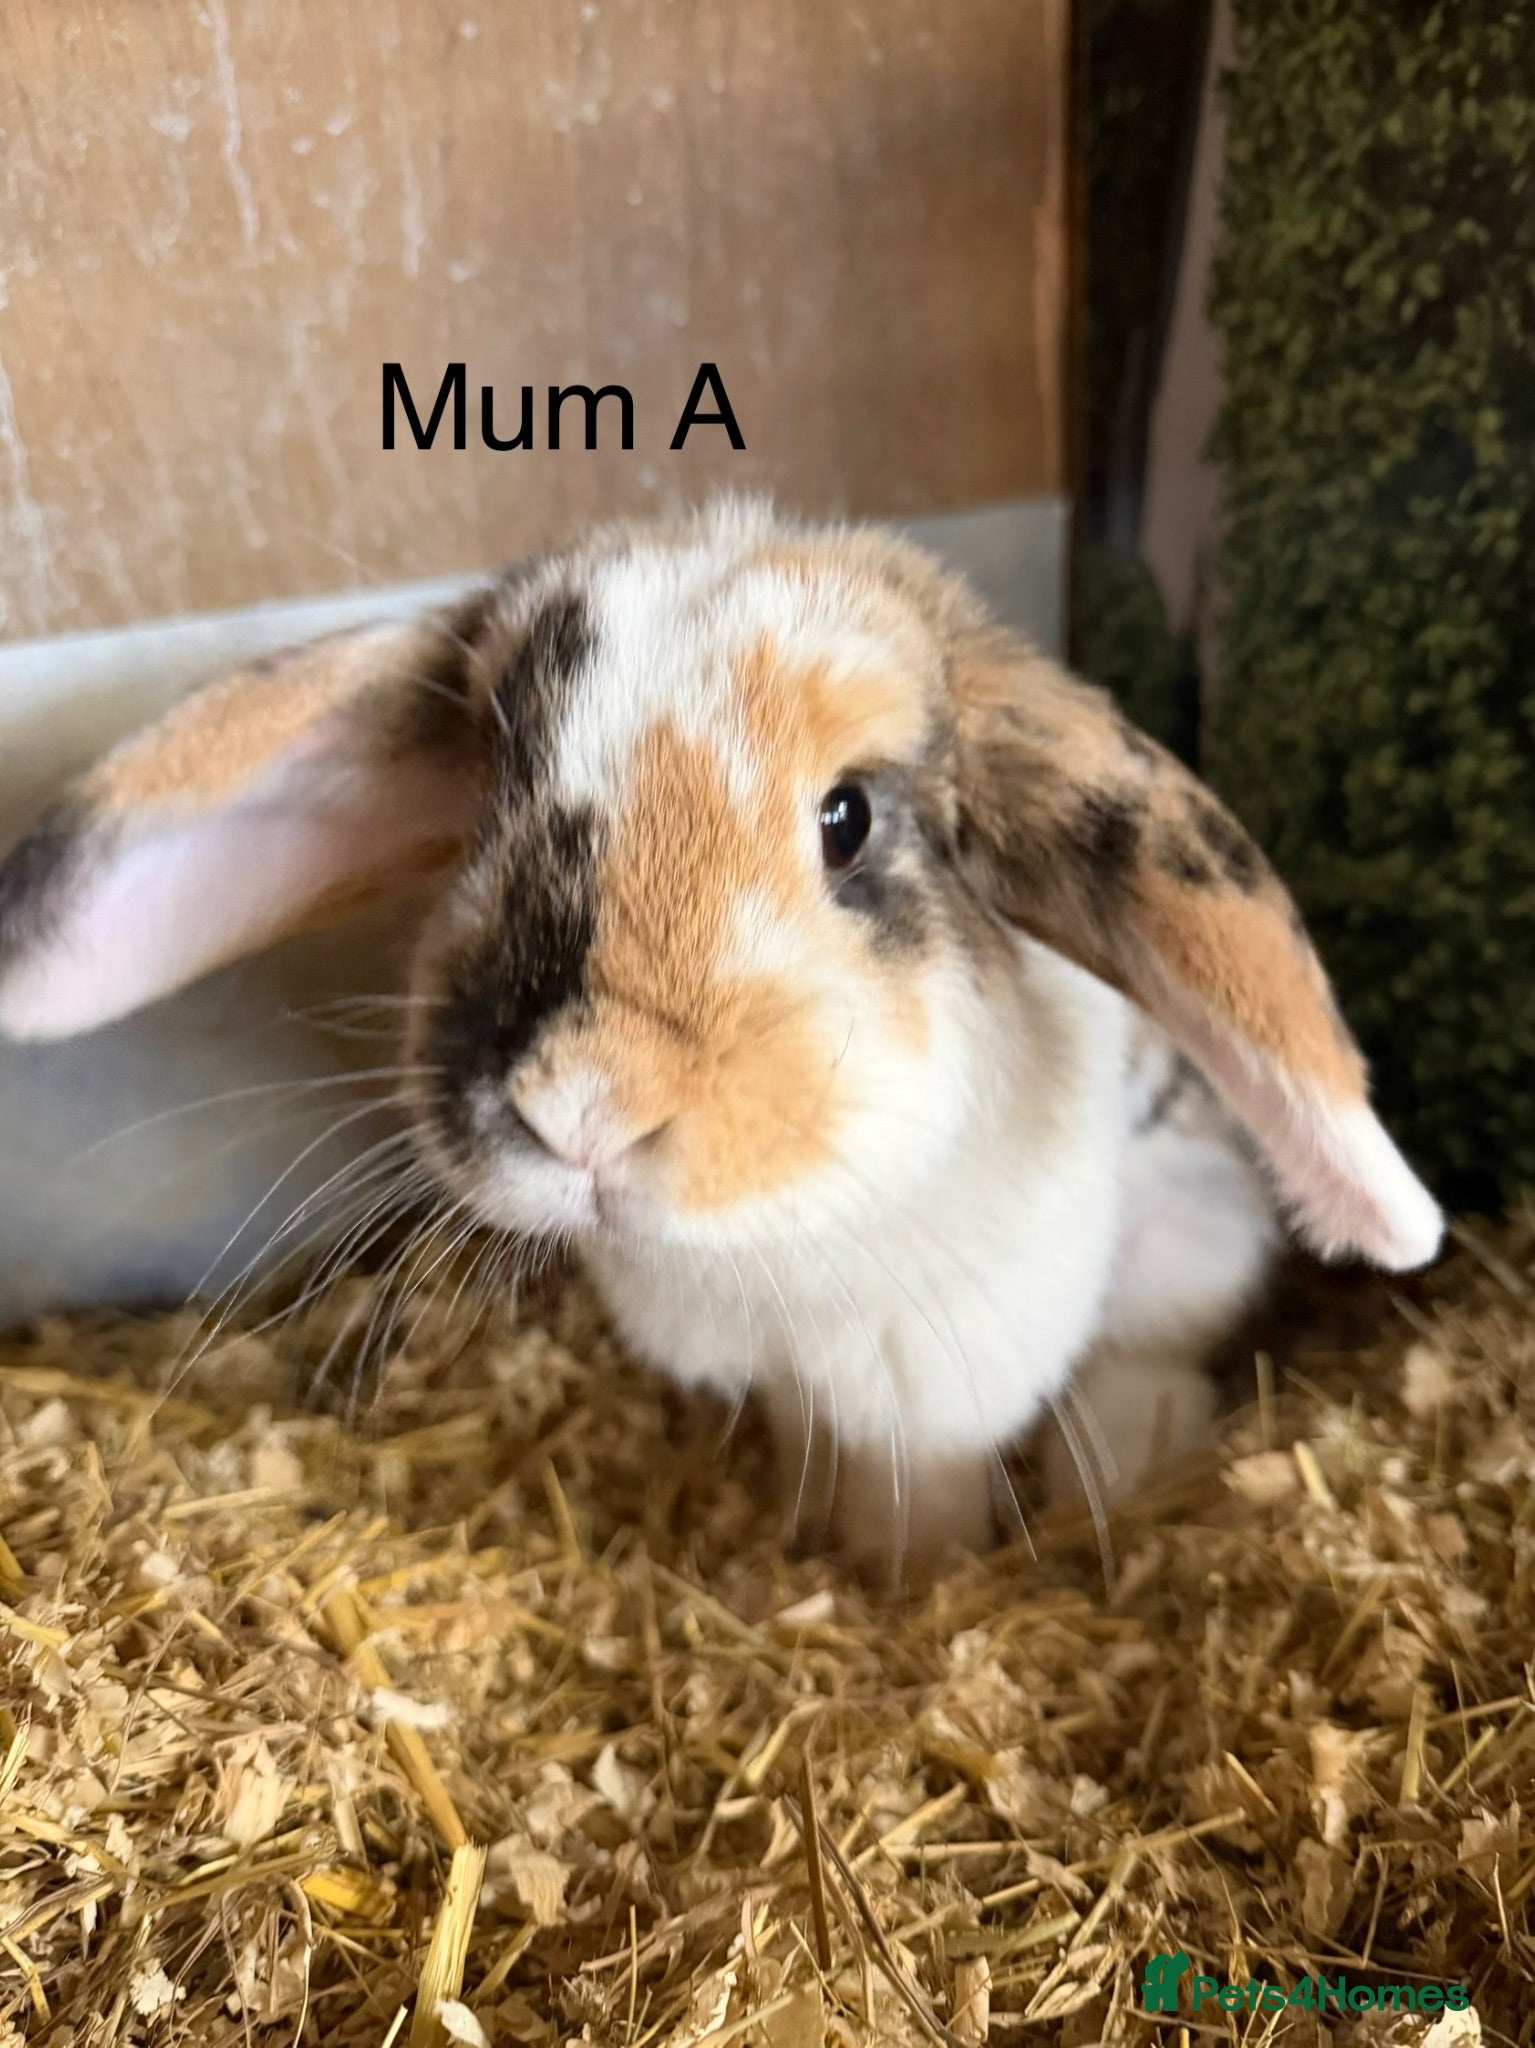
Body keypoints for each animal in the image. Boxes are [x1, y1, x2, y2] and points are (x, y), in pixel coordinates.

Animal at [0, 499, 1441, 1577]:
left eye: (847, 819)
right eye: (493, 801)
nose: (583, 1105)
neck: (766, 1244)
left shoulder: (941, 1372)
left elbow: (922, 1490)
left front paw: (905, 1586)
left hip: (1192, 1222)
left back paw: (1126, 1456)